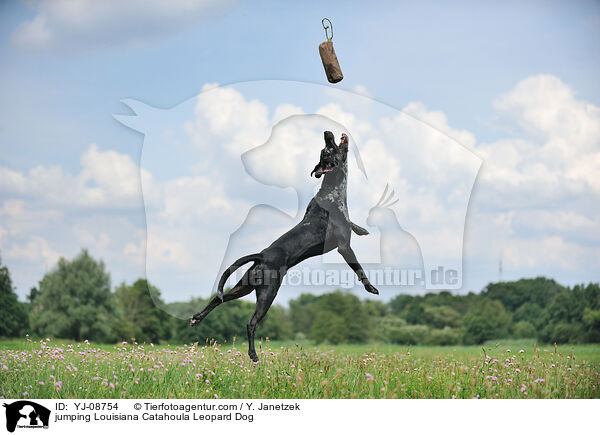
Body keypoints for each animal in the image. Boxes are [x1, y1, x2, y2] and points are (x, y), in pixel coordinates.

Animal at [191, 131, 380, 362]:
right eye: (327, 149)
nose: (327, 133)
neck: (331, 192)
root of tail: (262, 255)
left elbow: (354, 224)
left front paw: (362, 229)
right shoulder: (344, 246)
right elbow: (359, 269)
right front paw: (371, 287)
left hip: (244, 287)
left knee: (218, 299)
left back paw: (197, 317)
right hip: (267, 294)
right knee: (250, 324)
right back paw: (253, 355)